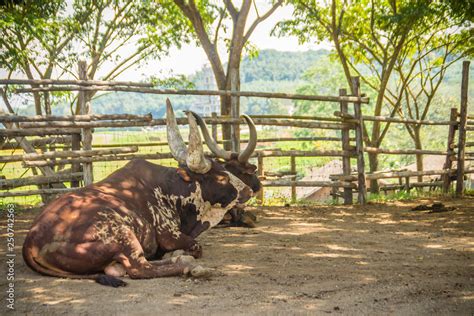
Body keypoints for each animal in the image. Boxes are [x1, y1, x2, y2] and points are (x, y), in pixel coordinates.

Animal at [22, 100, 260, 288]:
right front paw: (180, 255)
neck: (172, 190)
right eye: (221, 177)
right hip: (122, 234)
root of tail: (30, 242)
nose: (249, 189)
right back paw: (190, 266)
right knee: (139, 268)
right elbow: (195, 246)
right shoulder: (169, 235)